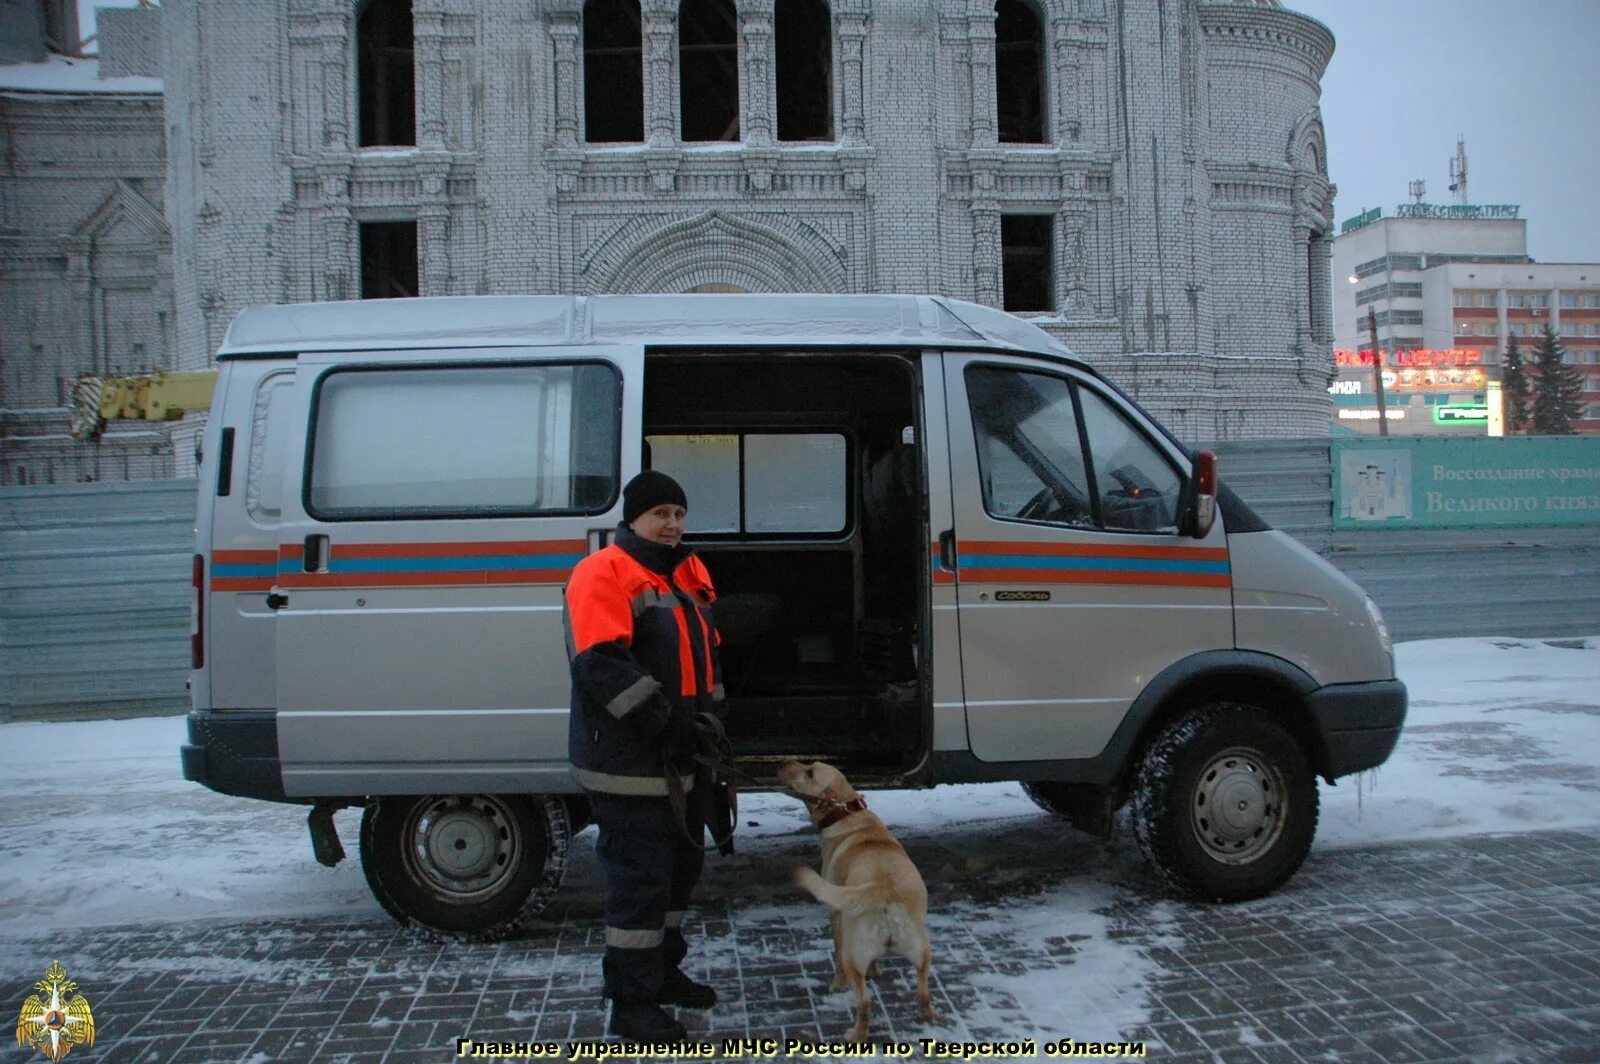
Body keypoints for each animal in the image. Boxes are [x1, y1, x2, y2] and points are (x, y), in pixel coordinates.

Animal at [774, 758, 934, 1043]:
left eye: (810, 772)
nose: (782, 761)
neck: (848, 812)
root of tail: (883, 888)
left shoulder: (836, 916)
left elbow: (836, 955)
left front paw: (837, 984)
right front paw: (876, 969)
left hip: (853, 954)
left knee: (865, 1001)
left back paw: (855, 1034)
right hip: (922, 950)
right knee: (923, 991)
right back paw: (928, 1014)